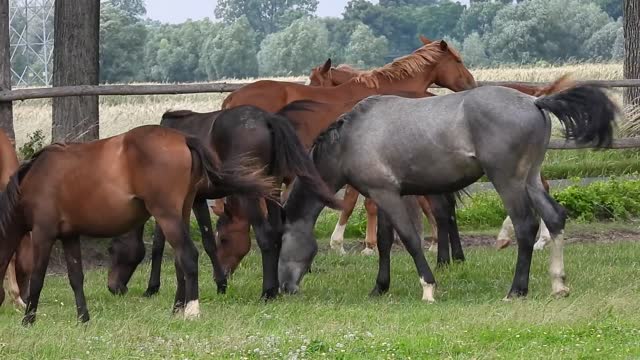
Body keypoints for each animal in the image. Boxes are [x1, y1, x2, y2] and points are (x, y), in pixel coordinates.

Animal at [0, 125, 274, 324]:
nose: (14, 299)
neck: (35, 179)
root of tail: (183, 139)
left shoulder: (43, 234)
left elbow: (38, 278)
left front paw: (28, 320)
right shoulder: (69, 236)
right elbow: (76, 277)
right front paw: (83, 318)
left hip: (166, 215)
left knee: (188, 256)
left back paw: (191, 310)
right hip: (183, 212)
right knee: (180, 261)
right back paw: (177, 309)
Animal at [278, 85, 616, 300]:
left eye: (280, 243)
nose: (284, 288)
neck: (350, 138)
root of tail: (535, 101)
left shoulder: (387, 195)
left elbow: (410, 239)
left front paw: (428, 287)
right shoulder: (383, 195)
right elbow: (385, 242)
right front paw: (380, 287)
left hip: (508, 181)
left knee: (526, 226)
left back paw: (517, 289)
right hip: (530, 180)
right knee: (554, 218)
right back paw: (558, 285)